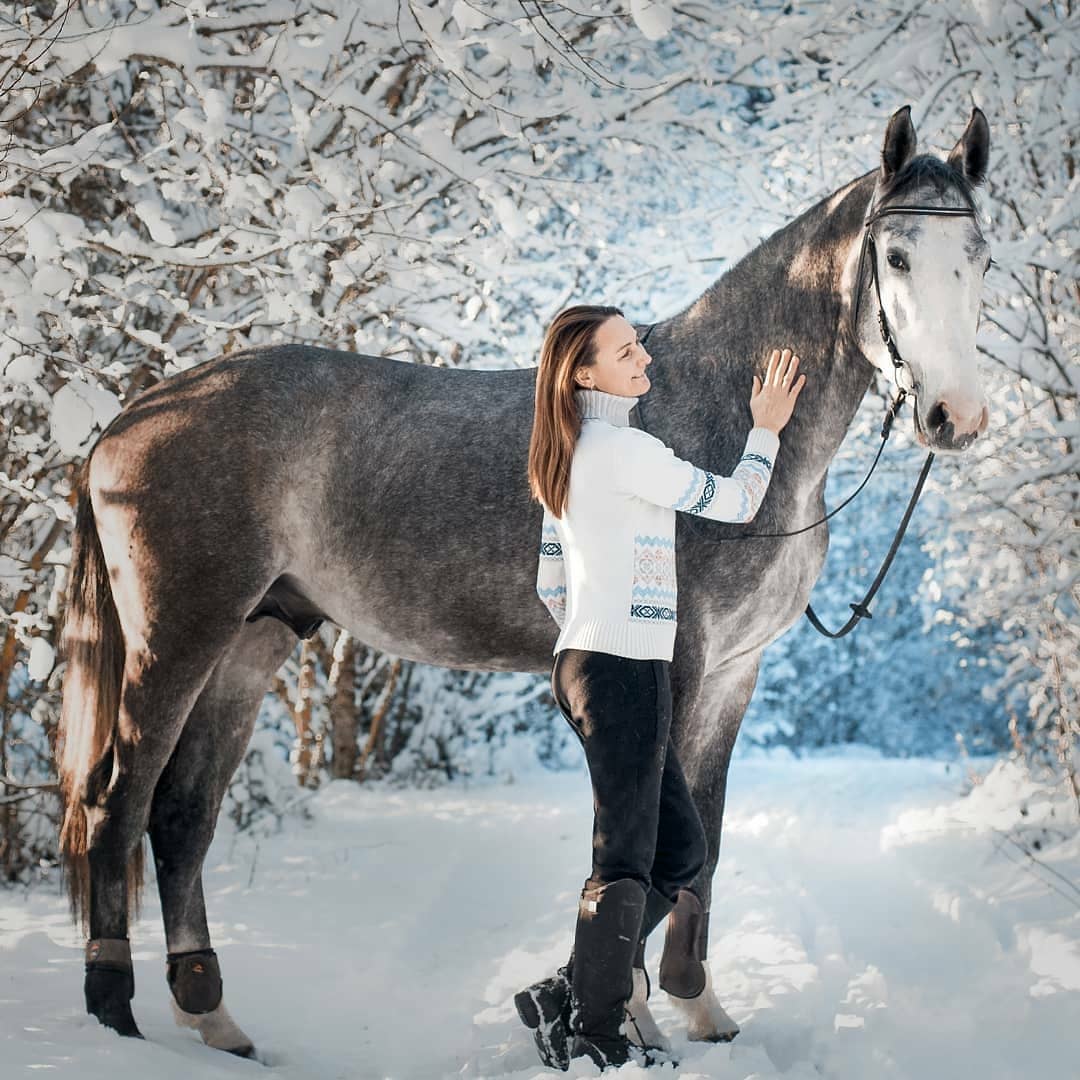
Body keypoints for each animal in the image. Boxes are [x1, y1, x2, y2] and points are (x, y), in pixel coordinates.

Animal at [56, 105, 989, 1058]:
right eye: (896, 256)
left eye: (981, 255)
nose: (956, 416)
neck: (721, 411)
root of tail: (130, 418)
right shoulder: (680, 667)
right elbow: (649, 838)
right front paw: (631, 1017)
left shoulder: (736, 671)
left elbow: (708, 839)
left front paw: (700, 1008)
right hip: (180, 636)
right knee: (115, 805)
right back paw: (114, 1018)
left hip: (253, 639)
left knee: (181, 815)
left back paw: (213, 1017)